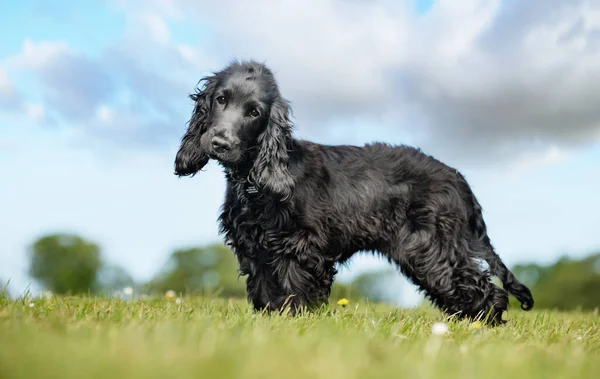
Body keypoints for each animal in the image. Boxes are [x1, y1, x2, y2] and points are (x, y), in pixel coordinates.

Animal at [173, 60, 536, 324]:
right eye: (221, 99)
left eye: (254, 112)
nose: (219, 142)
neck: (255, 182)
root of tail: (458, 178)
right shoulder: (256, 249)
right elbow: (265, 292)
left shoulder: (299, 249)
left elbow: (293, 291)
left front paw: (293, 323)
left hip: (431, 249)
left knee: (485, 290)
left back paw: (479, 328)